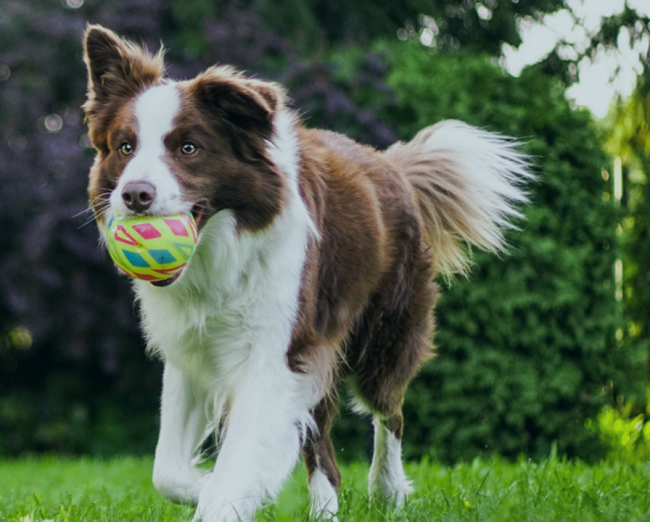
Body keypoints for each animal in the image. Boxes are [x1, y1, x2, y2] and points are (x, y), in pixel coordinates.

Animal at [82, 25, 528, 522]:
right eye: (125, 147)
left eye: (188, 148)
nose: (134, 195)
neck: (219, 255)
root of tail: (390, 165)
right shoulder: (193, 351)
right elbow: (168, 471)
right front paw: (210, 486)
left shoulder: (276, 354)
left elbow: (238, 459)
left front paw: (224, 494)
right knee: (323, 448)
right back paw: (325, 509)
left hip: (384, 334)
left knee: (389, 411)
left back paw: (388, 490)